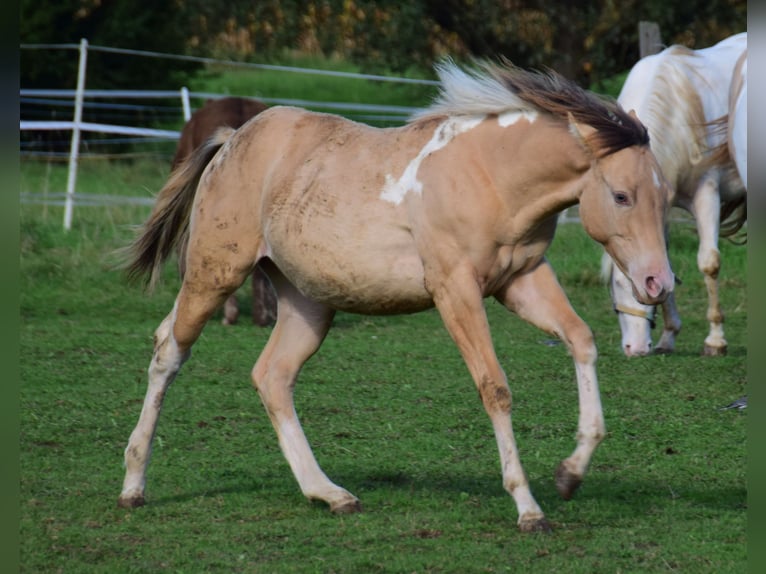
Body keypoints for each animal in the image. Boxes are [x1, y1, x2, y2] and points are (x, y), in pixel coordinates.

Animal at [604, 33, 748, 358]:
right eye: (614, 286)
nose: (635, 348)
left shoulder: (707, 193)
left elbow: (709, 263)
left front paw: (715, 340)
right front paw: (669, 336)